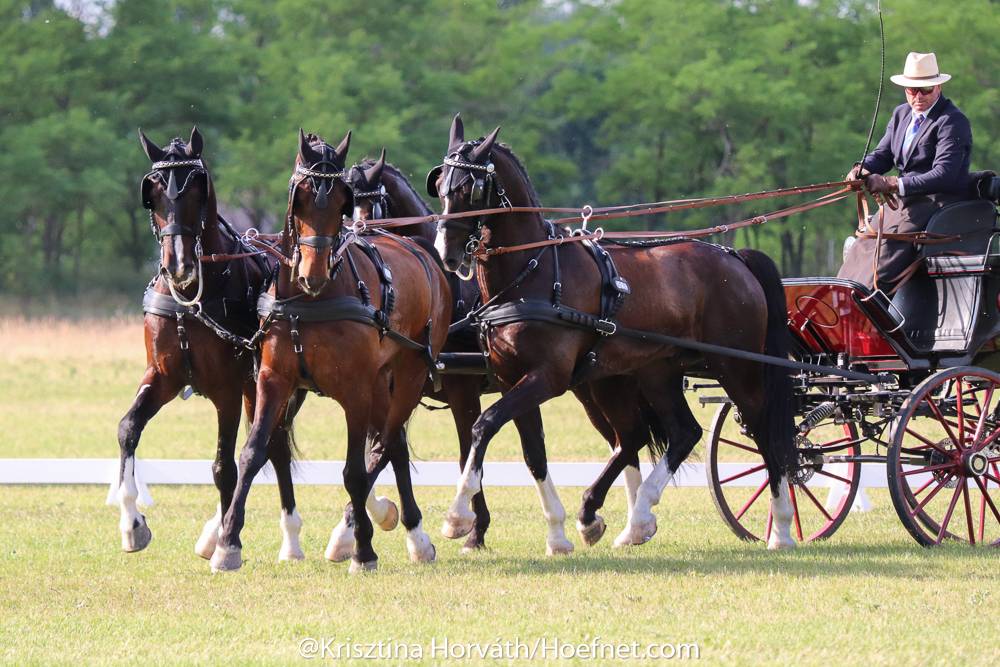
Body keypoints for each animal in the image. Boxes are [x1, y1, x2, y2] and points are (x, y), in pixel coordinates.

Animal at [116, 126, 304, 564]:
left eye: (198, 191)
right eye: (153, 192)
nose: (179, 265)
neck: (192, 298)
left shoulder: (227, 390)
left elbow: (224, 467)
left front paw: (228, 542)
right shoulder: (163, 376)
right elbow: (128, 429)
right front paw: (132, 524)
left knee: (274, 446)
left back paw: (291, 538)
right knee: (274, 444)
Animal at [211, 132, 454, 576]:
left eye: (341, 199)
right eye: (300, 198)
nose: (313, 273)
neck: (310, 301)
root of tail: (419, 250)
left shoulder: (356, 390)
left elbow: (354, 471)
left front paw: (363, 550)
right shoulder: (273, 380)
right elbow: (253, 453)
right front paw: (227, 543)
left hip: (409, 374)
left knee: (386, 441)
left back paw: (383, 532)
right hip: (380, 381)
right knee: (392, 444)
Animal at [430, 116, 796, 552]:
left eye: (470, 188)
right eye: (439, 185)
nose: (446, 253)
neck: (532, 271)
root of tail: (734, 256)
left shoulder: (547, 378)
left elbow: (483, 425)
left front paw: (457, 518)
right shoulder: (510, 378)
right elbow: (533, 453)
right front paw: (557, 534)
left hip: (736, 367)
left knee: (765, 433)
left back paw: (782, 530)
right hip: (656, 372)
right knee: (680, 433)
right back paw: (634, 520)